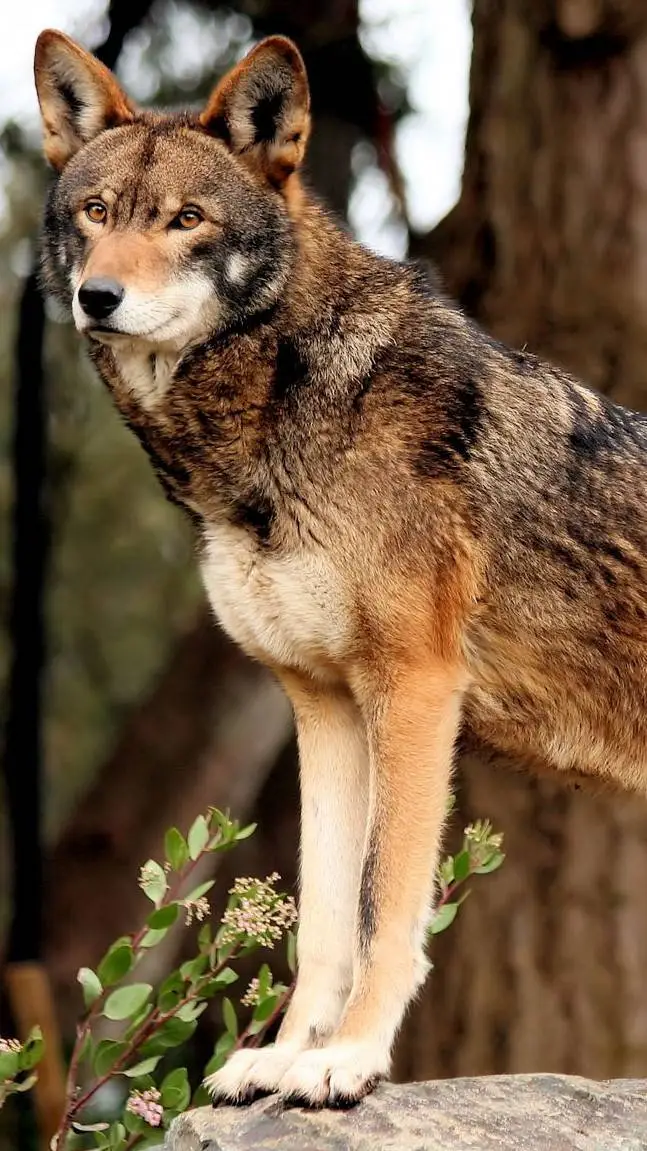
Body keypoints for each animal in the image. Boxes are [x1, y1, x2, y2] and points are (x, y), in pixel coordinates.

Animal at [34, 29, 647, 1106]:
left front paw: (351, 1057)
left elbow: (381, 906)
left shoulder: (415, 689)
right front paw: (284, 1057)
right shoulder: (321, 702)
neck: (286, 401)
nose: (95, 297)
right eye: (96, 213)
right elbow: (323, 920)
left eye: (187, 220)